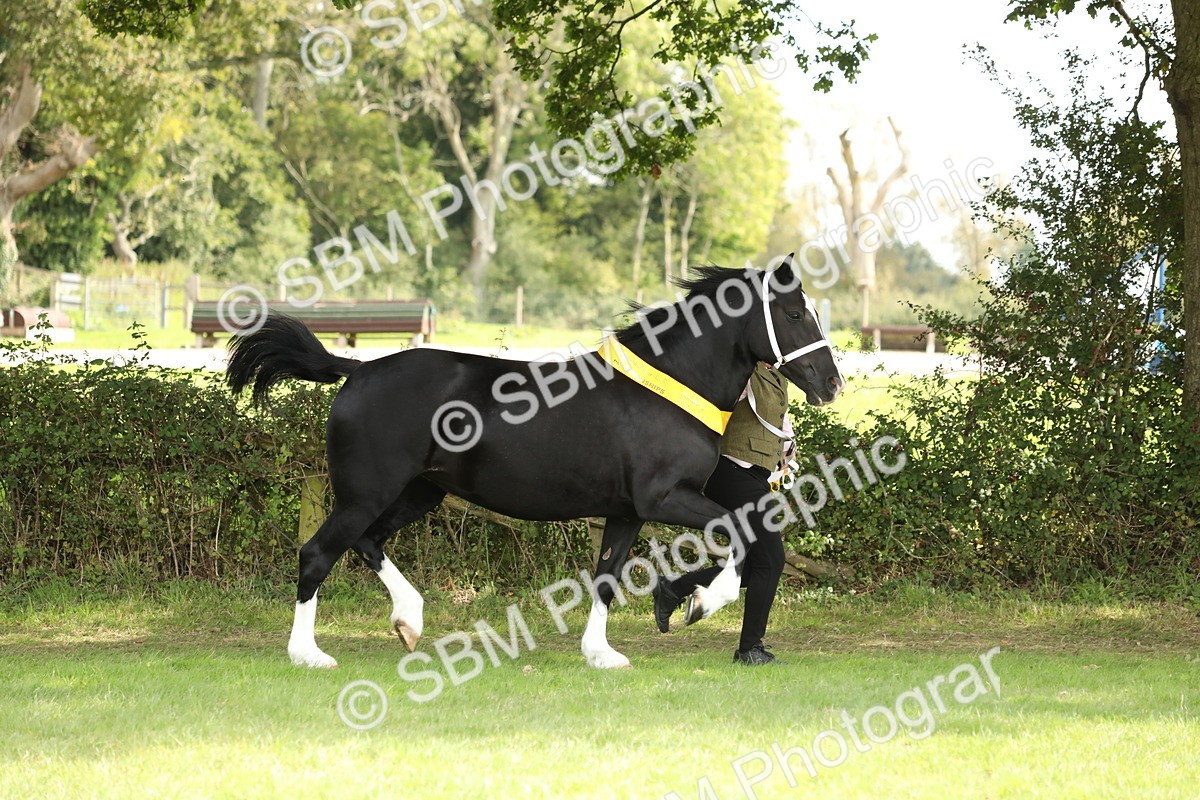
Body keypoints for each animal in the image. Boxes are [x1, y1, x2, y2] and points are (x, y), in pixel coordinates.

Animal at [225, 258, 843, 669]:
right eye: (794, 312)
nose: (832, 384)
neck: (668, 387)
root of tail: (357, 370)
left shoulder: (627, 512)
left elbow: (606, 577)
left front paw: (602, 653)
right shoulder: (665, 499)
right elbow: (734, 532)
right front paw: (698, 603)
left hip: (417, 492)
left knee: (367, 542)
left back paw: (409, 620)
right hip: (368, 493)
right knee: (317, 553)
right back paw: (309, 654)